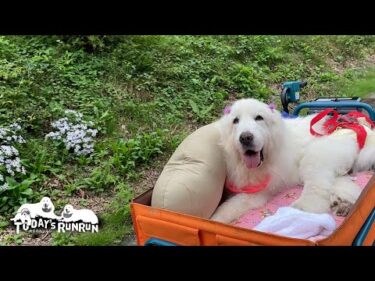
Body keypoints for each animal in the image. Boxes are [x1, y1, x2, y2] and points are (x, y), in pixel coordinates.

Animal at [212, 98, 375, 223]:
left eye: (259, 118)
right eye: (235, 121)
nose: (246, 137)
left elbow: (227, 207)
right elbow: (229, 205)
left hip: (317, 154)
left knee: (317, 189)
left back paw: (303, 209)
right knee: (342, 184)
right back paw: (341, 204)